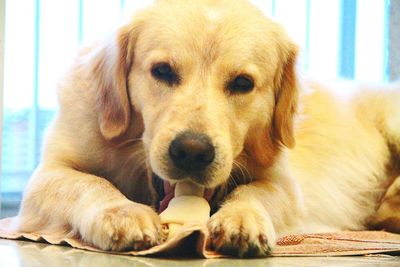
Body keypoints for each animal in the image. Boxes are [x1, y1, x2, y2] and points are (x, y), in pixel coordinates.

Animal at [15, 0, 400, 258]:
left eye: (243, 83)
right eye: (163, 71)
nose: (191, 152)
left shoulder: (284, 185)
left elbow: (254, 192)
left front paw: (242, 220)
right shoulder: (47, 175)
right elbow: (87, 183)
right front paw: (123, 214)